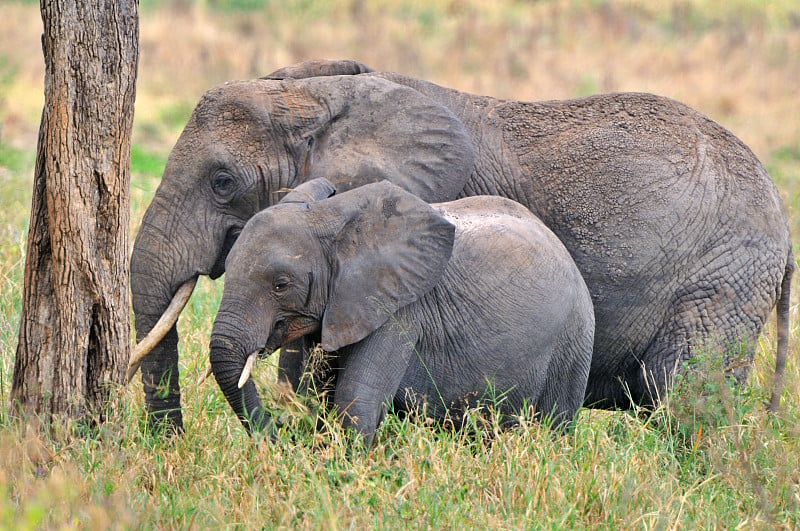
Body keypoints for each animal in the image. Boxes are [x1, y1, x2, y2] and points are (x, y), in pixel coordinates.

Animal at [209, 179, 596, 444]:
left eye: (281, 284)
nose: (281, 437)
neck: (331, 219)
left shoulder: (399, 312)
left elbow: (356, 401)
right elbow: (321, 397)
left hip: (573, 340)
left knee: (554, 424)